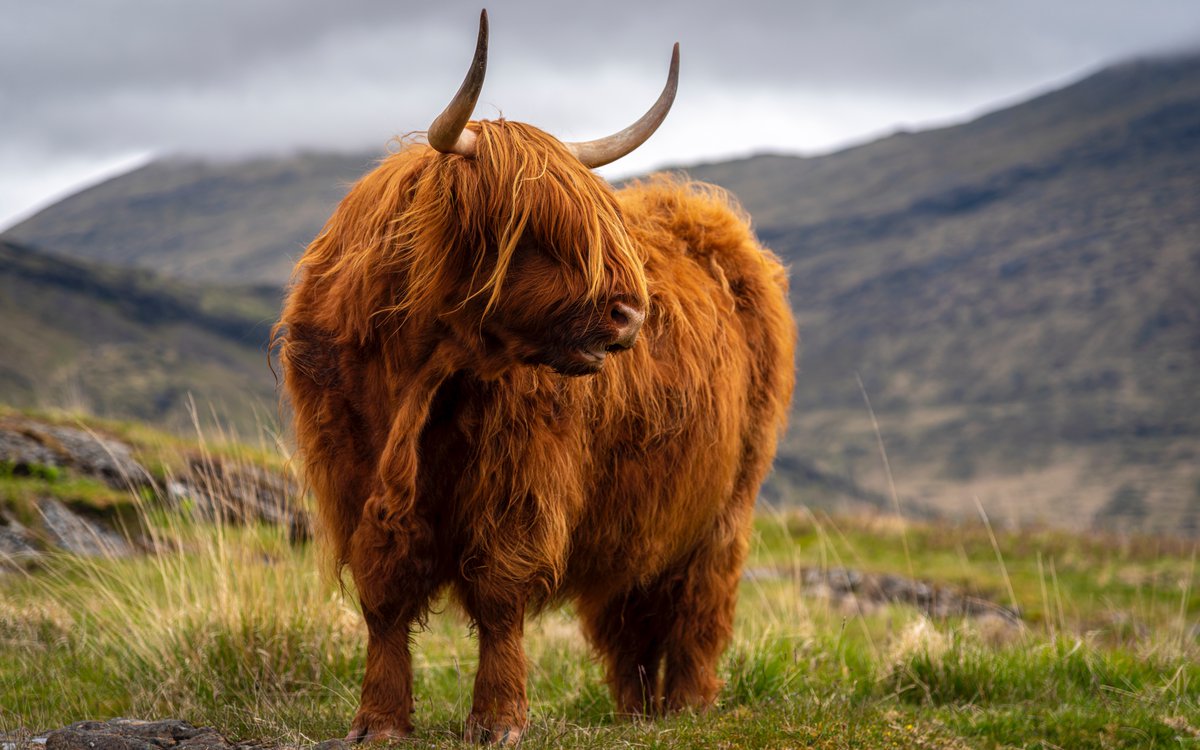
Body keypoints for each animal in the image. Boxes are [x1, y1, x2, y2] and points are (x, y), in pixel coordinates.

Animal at [274, 10, 792, 744]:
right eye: (537, 232)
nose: (633, 313)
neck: (418, 379)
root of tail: (704, 217)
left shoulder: (520, 479)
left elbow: (499, 592)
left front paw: (497, 719)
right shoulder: (352, 478)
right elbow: (384, 596)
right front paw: (379, 720)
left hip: (727, 505)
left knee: (699, 598)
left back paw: (688, 704)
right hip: (639, 508)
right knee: (632, 607)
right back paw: (636, 709)